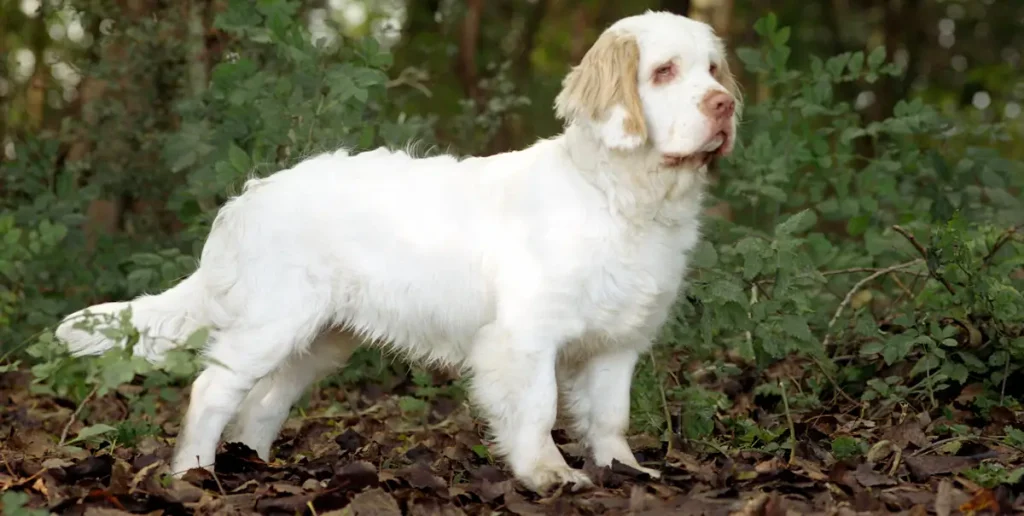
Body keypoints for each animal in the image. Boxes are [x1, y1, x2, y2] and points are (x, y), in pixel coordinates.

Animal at [56, 11, 741, 491]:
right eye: (663, 72)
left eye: (712, 70)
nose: (725, 105)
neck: (619, 195)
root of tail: (248, 200)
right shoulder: (524, 340)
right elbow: (538, 409)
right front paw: (548, 474)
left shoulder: (618, 344)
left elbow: (611, 418)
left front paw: (626, 471)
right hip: (273, 324)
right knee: (214, 391)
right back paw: (194, 475)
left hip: (321, 340)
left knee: (262, 404)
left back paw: (257, 466)